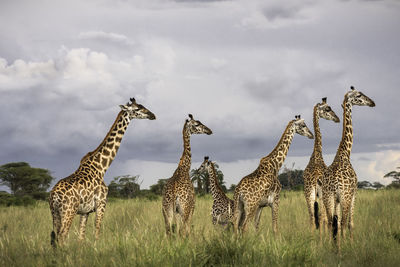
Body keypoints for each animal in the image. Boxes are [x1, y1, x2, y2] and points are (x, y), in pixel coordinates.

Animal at [49, 98, 155, 247]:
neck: (101, 168)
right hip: (68, 211)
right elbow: (96, 233)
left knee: (55, 238)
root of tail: (54, 195)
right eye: (137, 109)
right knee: (62, 236)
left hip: (55, 213)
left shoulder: (85, 211)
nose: (152, 115)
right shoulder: (101, 204)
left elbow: (81, 238)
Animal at [304, 97, 340, 232]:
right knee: (323, 217)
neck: (316, 154)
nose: (337, 118)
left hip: (308, 193)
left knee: (312, 217)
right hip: (320, 194)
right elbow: (324, 218)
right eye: (328, 108)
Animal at [322, 87, 376, 250]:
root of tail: (334, 182)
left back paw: (330, 247)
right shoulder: (353, 194)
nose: (372, 102)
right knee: (343, 222)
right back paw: (341, 249)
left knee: (330, 222)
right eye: (359, 95)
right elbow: (350, 223)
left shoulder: (336, 199)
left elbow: (336, 223)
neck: (345, 153)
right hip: (345, 197)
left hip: (328, 197)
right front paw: (350, 245)